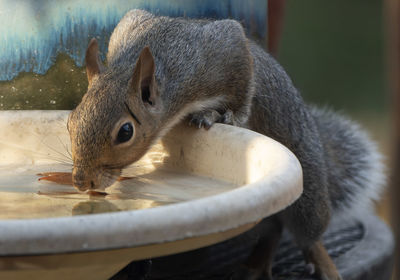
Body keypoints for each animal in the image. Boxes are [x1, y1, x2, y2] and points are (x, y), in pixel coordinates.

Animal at [68, 9, 384, 280]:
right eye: (72, 120)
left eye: (125, 132)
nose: (81, 180)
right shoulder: (128, 27)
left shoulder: (223, 51)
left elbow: (242, 87)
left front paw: (228, 117)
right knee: (272, 230)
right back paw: (255, 266)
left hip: (307, 188)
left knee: (308, 233)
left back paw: (323, 263)